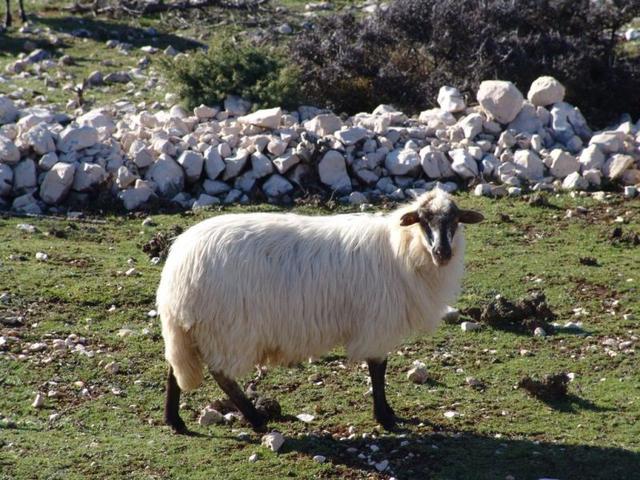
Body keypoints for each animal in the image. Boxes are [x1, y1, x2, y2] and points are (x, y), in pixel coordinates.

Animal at [157, 189, 484, 433]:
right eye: (423, 220)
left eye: (455, 220)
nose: (443, 252)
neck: (401, 250)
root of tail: (177, 268)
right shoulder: (377, 324)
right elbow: (378, 369)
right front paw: (385, 416)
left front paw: (387, 413)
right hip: (228, 329)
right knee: (222, 375)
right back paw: (256, 419)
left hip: (192, 330)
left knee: (176, 366)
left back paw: (175, 420)